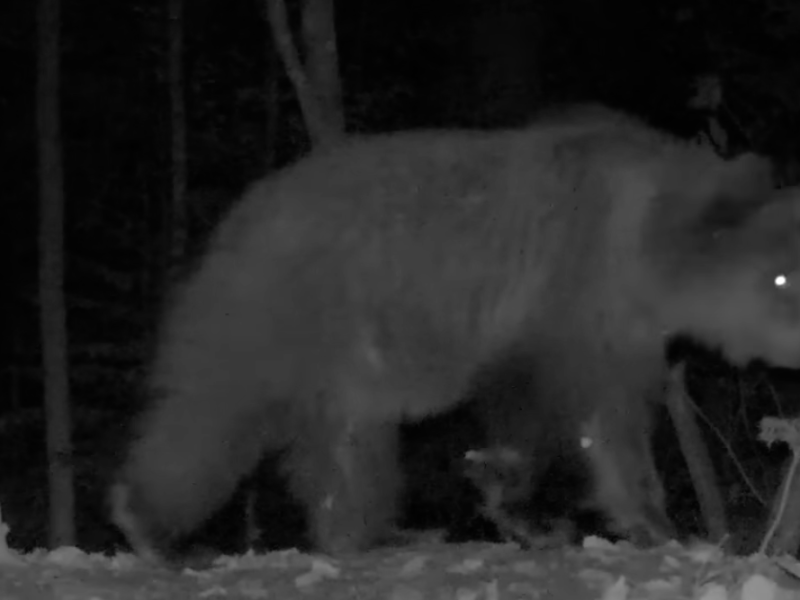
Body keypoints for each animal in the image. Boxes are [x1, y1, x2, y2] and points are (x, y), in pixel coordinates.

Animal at [110, 105, 800, 565]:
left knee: (350, 451)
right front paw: (523, 505)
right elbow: (541, 406)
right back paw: (150, 525)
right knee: (211, 416)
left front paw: (657, 522)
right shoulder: (560, 291)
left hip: (345, 362)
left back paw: (375, 533)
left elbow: (612, 425)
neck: (642, 244)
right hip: (285, 310)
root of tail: (237, 216)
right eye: (782, 276)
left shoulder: (620, 333)